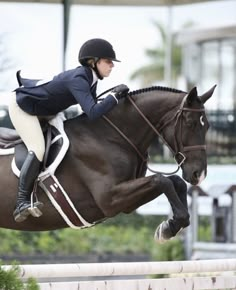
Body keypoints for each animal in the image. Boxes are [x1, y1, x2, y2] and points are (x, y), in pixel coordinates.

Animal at [0, 84, 216, 242]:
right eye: (190, 123)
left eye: (207, 126)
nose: (199, 174)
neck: (111, 136)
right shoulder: (110, 199)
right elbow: (161, 180)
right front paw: (168, 228)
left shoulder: (125, 203)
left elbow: (174, 182)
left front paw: (171, 225)